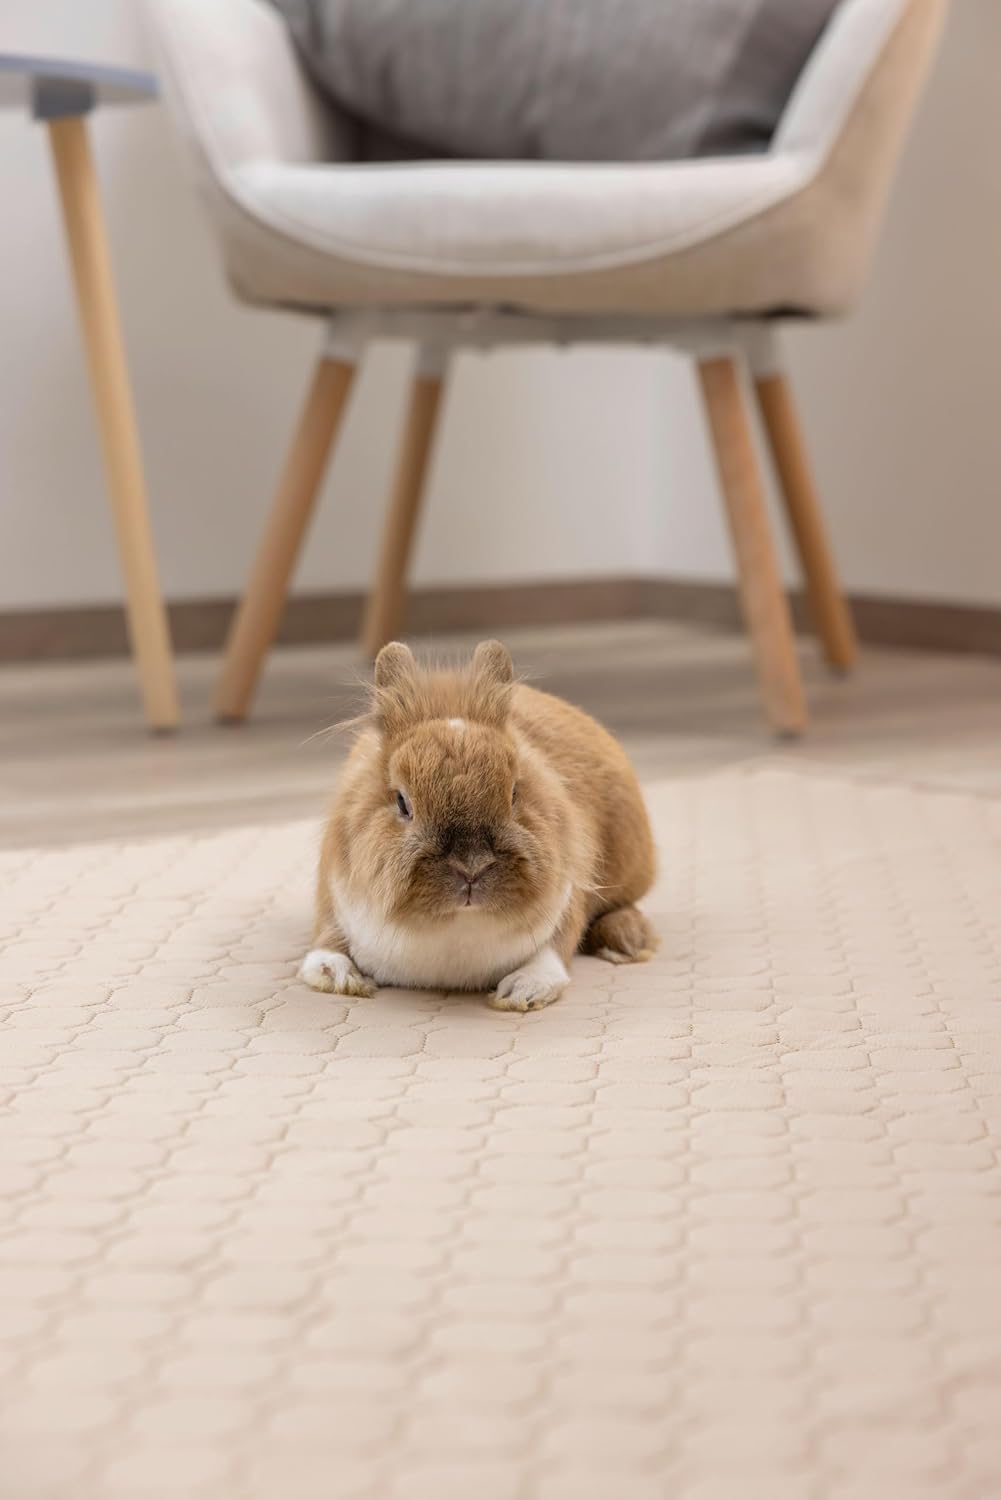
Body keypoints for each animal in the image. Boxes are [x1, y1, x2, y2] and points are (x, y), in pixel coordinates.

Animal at [300, 639, 657, 1012]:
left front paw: (523, 990)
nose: (471, 868)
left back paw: (627, 940)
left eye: (514, 793)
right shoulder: (333, 900)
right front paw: (338, 975)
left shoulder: (567, 899)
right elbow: (324, 944)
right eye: (402, 802)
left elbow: (554, 952)